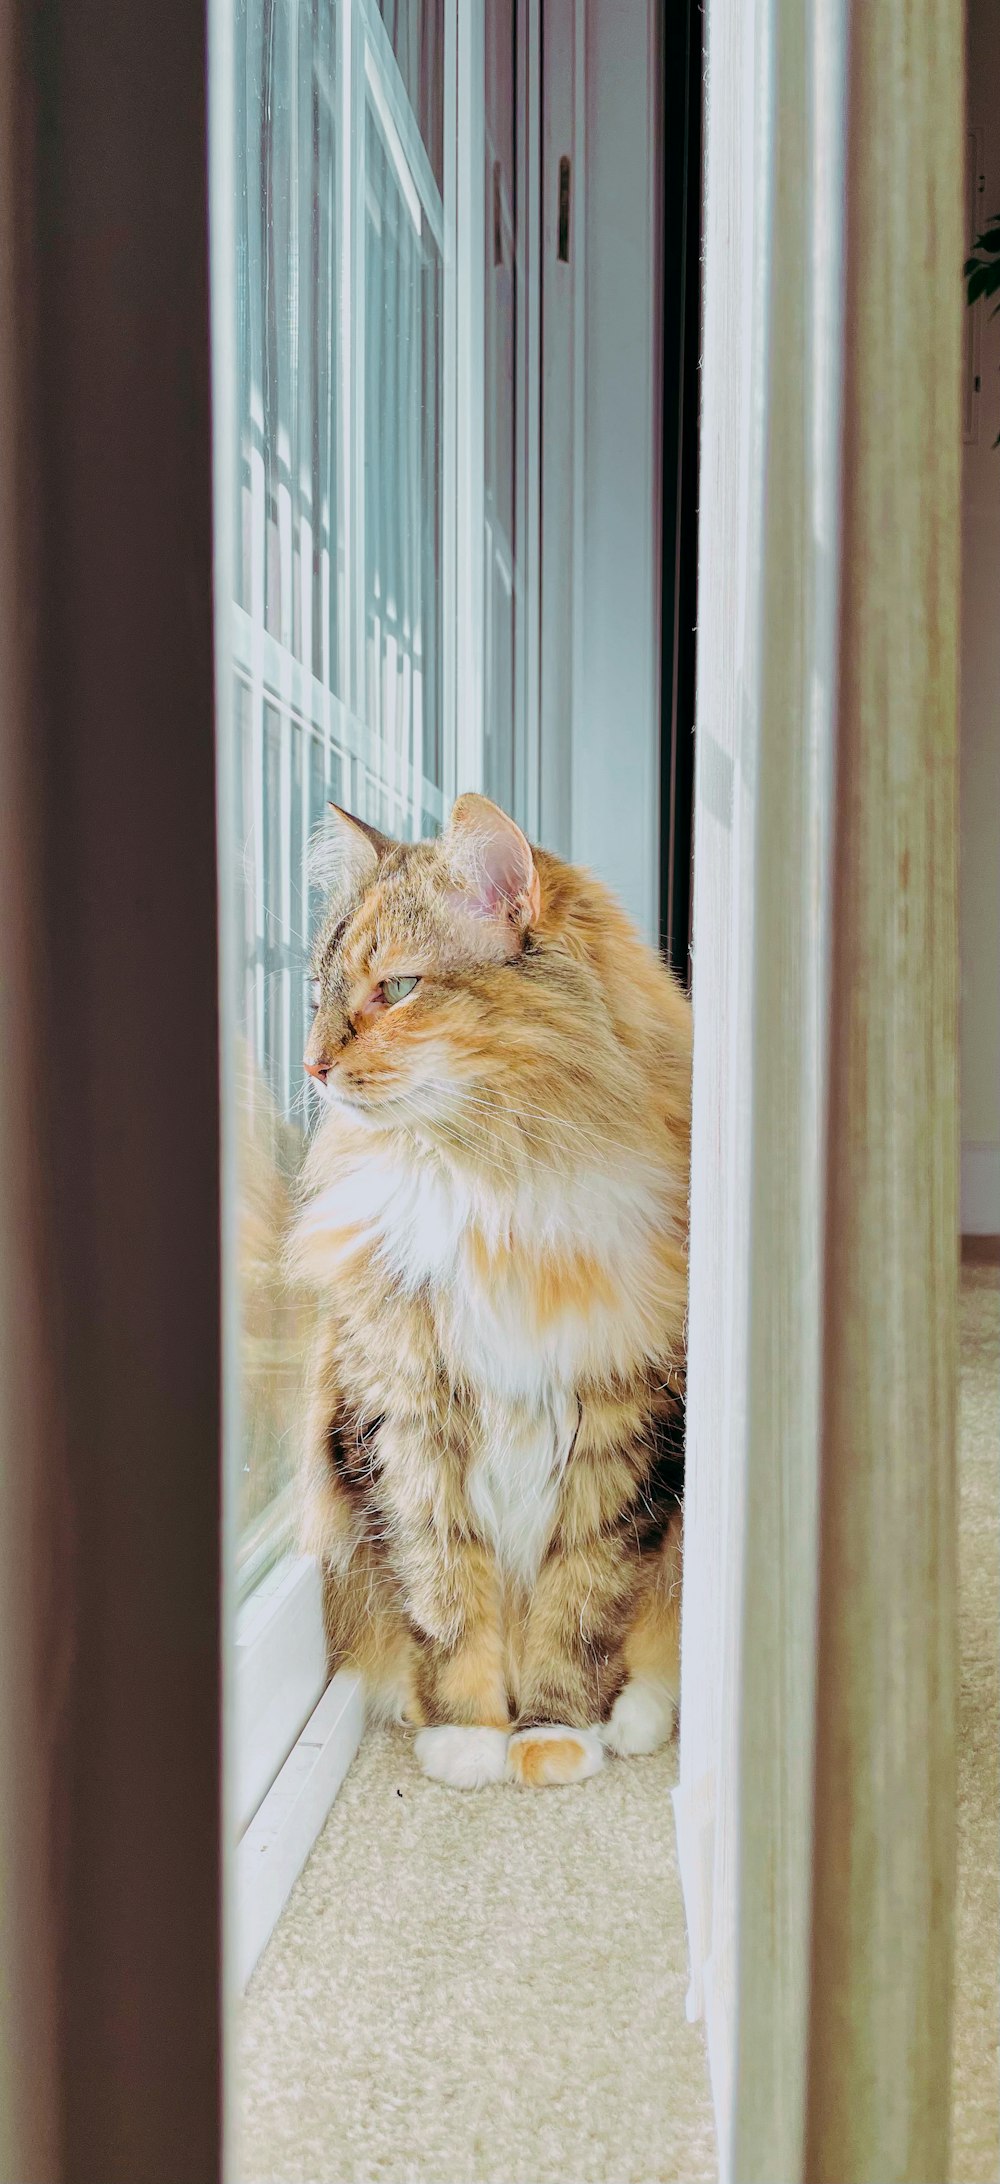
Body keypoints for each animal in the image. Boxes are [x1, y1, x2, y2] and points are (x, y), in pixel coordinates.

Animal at [292, 794, 689, 1782]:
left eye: (396, 989)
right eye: (318, 994)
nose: (312, 1065)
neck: (490, 1186)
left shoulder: (621, 1425)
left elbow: (577, 1605)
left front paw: (551, 1735)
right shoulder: (406, 1419)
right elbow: (445, 1594)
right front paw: (469, 1737)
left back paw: (630, 1719)